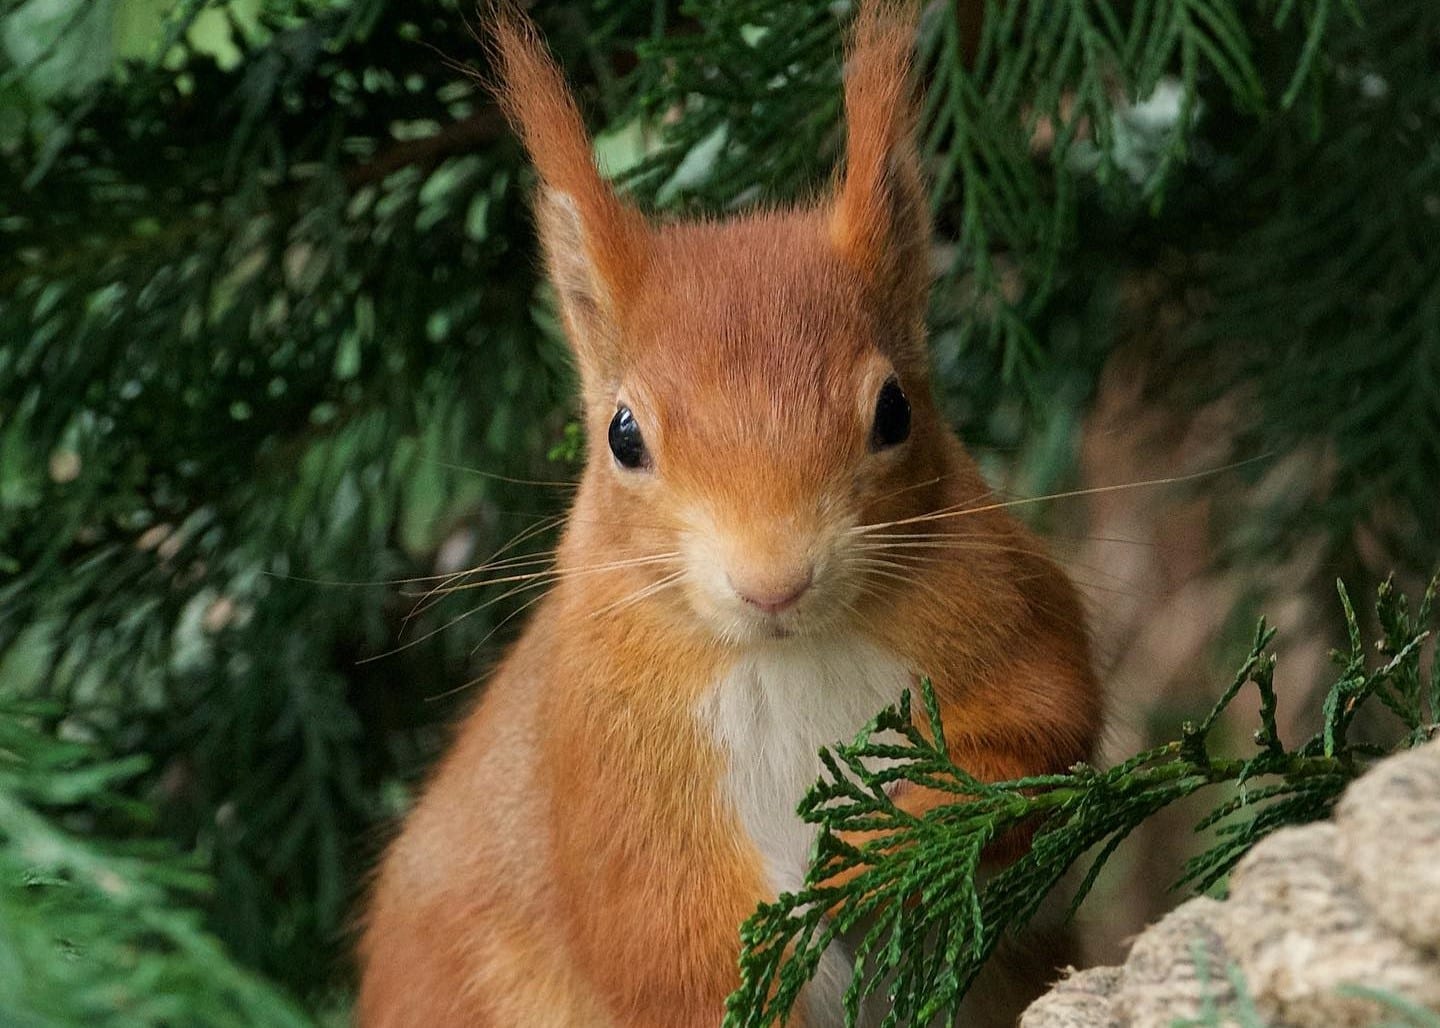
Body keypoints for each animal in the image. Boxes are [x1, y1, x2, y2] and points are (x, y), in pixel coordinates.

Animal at [360, 4, 1100, 1019]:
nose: (773, 583)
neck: (787, 658)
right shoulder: (600, 770)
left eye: (895, 412)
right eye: (623, 435)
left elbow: (1040, 737)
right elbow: (658, 932)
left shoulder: (1016, 620)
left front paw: (879, 846)